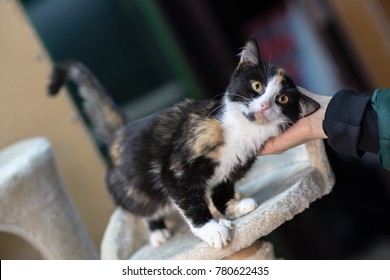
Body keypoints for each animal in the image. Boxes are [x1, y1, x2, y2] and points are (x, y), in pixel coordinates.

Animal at [48, 37, 320, 249]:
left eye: (282, 99)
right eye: (257, 85)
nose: (264, 105)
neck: (242, 132)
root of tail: (120, 134)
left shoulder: (236, 165)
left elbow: (222, 188)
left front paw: (232, 206)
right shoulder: (178, 162)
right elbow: (186, 196)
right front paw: (211, 228)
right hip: (133, 188)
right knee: (143, 206)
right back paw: (157, 230)